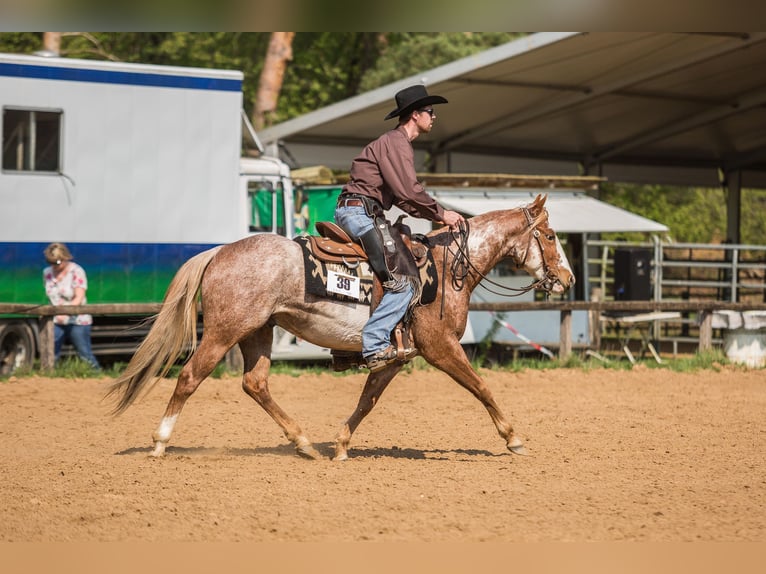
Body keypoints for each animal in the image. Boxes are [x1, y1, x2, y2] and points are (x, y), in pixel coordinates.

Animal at [106, 193, 574, 461]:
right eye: (551, 236)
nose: (567, 280)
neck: (446, 269)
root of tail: (220, 251)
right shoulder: (441, 347)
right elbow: (482, 387)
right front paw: (513, 438)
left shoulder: (394, 357)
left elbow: (367, 400)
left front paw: (342, 446)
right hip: (224, 333)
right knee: (189, 377)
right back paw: (160, 442)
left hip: (259, 332)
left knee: (255, 384)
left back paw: (303, 443)